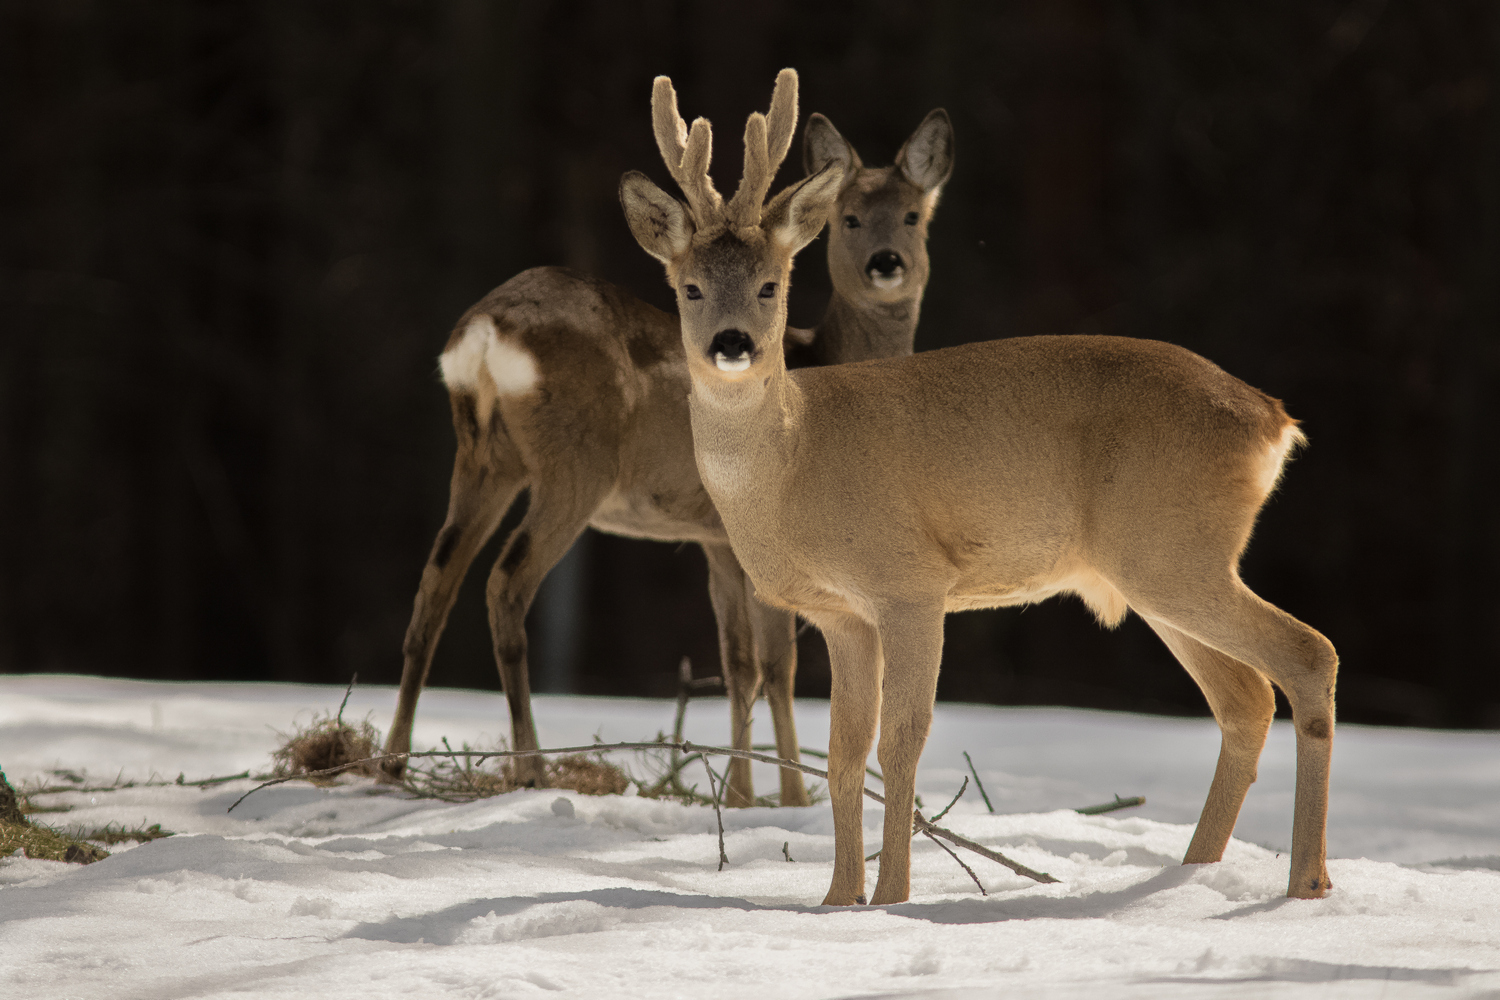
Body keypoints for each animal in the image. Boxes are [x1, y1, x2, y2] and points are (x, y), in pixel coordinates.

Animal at [381, 80, 954, 815]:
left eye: (912, 215)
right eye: (850, 219)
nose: (888, 264)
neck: (822, 364)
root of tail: (483, 331)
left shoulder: (714, 538)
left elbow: (738, 661)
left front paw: (740, 793)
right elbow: (780, 661)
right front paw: (792, 796)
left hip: (482, 457)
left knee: (435, 584)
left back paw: (393, 764)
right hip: (574, 463)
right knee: (505, 583)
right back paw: (529, 766)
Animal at [621, 66, 1338, 905]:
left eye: (771, 286)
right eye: (690, 288)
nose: (732, 344)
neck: (794, 464)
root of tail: (1274, 420)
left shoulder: (911, 581)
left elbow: (900, 743)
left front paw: (891, 899)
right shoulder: (839, 613)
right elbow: (844, 754)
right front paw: (836, 902)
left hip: (1176, 550)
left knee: (1307, 654)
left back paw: (1306, 880)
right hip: (1161, 566)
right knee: (1245, 698)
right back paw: (1190, 873)